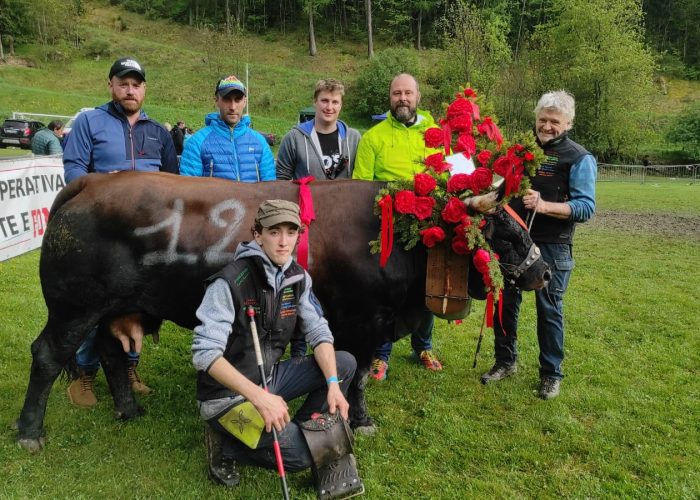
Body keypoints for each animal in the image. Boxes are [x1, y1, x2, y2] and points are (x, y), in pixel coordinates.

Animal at [16, 174, 548, 452]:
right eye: (502, 233)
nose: (543, 273)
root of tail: (92, 181)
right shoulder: (360, 321)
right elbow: (355, 377)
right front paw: (359, 419)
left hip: (112, 308)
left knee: (109, 351)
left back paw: (128, 409)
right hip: (73, 307)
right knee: (46, 356)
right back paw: (29, 432)